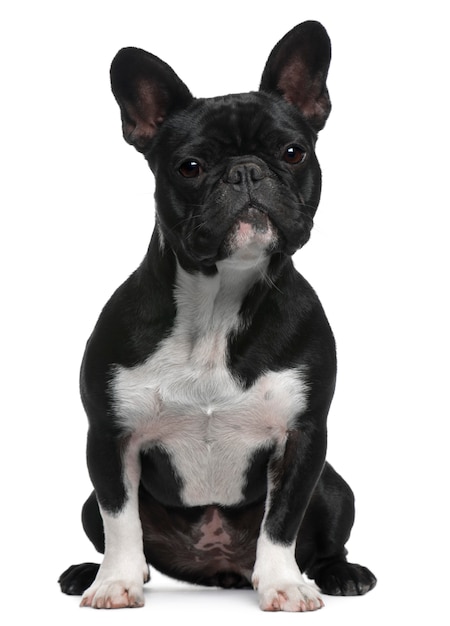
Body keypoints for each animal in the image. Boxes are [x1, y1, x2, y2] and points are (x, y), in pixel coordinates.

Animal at [59, 20, 376, 608]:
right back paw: (89, 571)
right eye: (191, 167)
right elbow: (120, 519)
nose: (246, 172)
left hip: (334, 487)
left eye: (293, 152)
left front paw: (283, 585)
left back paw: (341, 573)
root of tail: (217, 567)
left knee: (323, 540)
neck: (220, 301)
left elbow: (282, 521)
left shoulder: (303, 439)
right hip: (88, 502)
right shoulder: (110, 437)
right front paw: (114, 582)